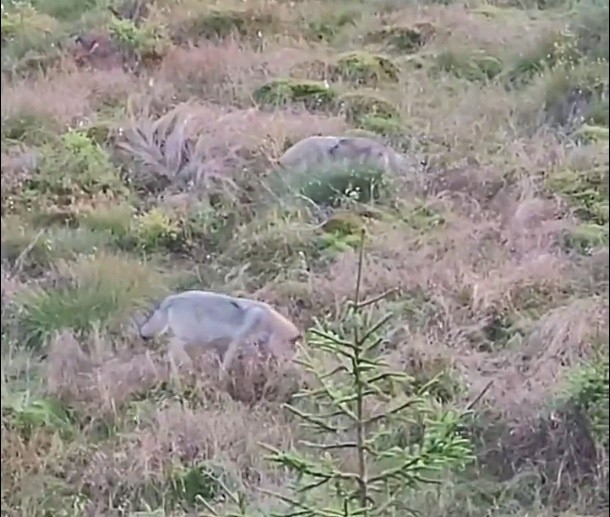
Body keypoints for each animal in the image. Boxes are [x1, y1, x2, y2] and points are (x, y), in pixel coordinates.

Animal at [137, 288, 300, 376]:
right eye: (290, 354)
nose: (290, 369)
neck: (268, 323)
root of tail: (171, 298)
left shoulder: (225, 347)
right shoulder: (237, 343)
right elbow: (226, 366)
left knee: (170, 352)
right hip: (192, 338)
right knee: (173, 346)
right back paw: (189, 366)